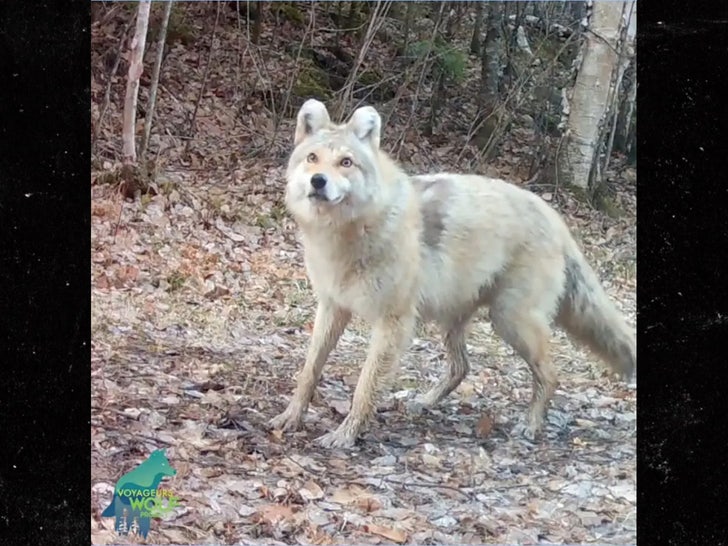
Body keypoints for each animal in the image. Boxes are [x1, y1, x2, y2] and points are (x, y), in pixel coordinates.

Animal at [269, 99, 635, 449]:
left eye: (346, 162)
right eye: (312, 158)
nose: (318, 181)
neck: (348, 234)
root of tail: (556, 218)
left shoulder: (393, 323)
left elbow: (365, 386)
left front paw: (345, 436)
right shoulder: (332, 307)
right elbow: (309, 371)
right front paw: (291, 417)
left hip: (508, 320)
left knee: (549, 373)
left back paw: (531, 426)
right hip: (455, 320)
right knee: (462, 367)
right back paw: (424, 402)